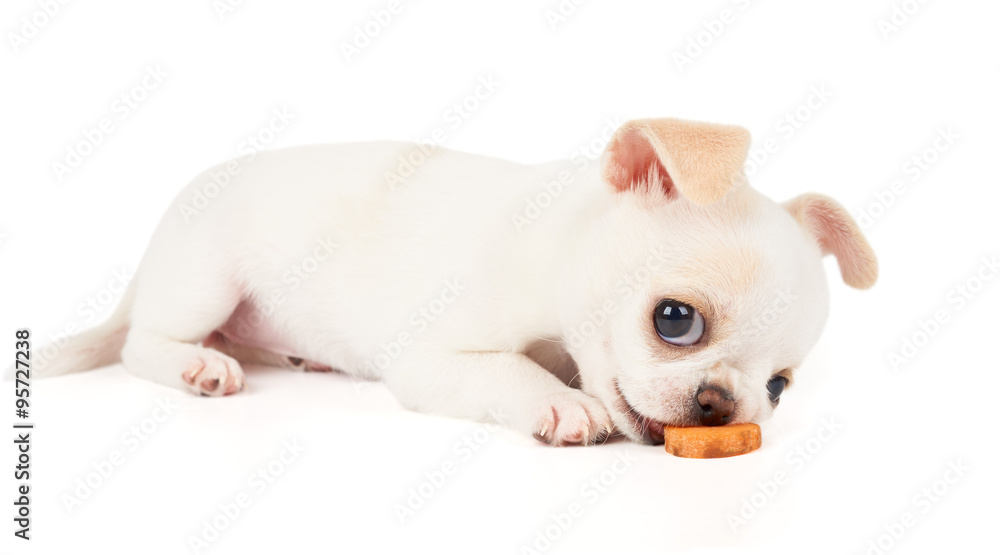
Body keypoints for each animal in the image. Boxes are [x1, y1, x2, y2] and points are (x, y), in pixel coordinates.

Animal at [33, 118, 876, 448]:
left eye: (780, 388)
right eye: (675, 320)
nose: (720, 404)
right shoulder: (435, 357)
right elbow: (512, 371)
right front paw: (562, 402)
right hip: (203, 281)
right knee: (145, 342)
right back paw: (198, 363)